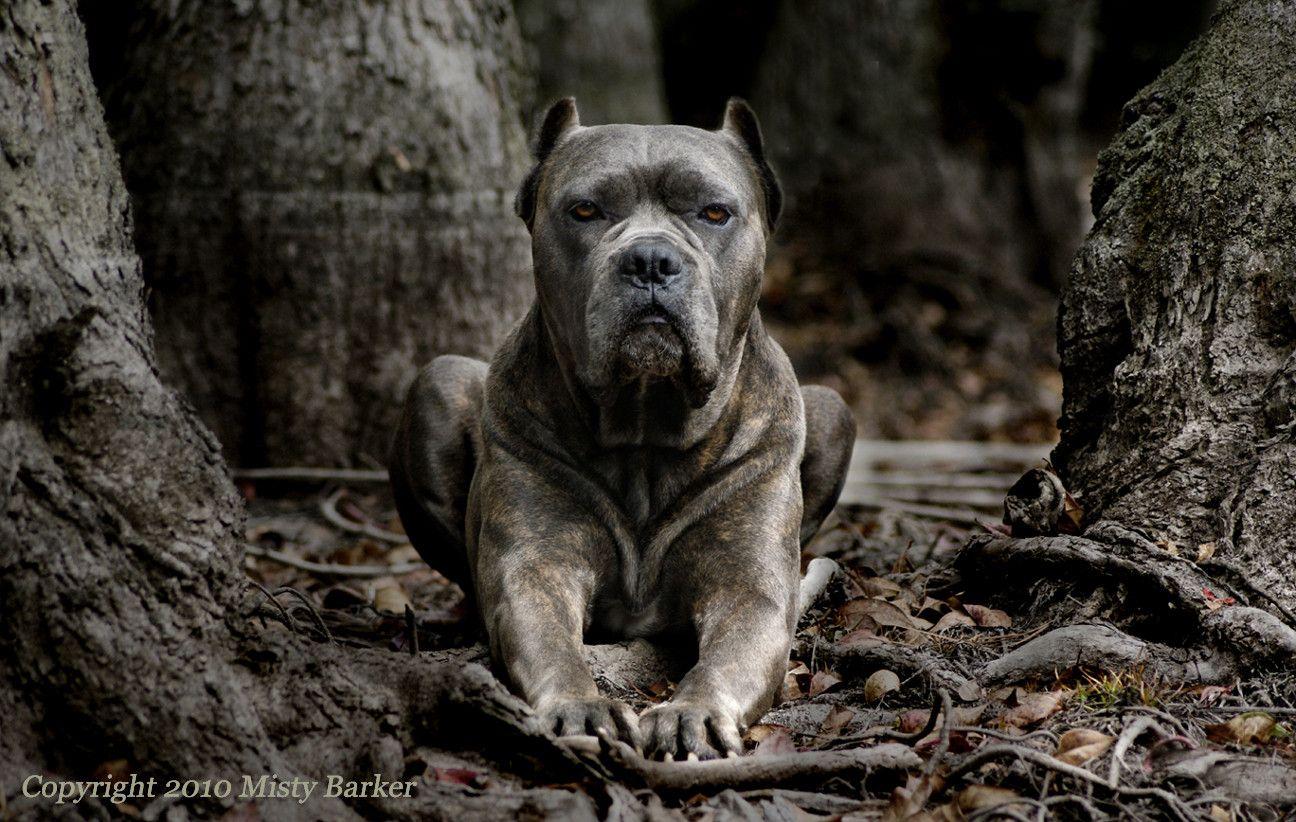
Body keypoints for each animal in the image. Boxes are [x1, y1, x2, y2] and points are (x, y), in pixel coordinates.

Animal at [393, 95, 860, 757]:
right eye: (585, 210)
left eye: (714, 212)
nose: (650, 259)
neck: (645, 431)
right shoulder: (535, 568)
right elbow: (548, 641)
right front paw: (580, 704)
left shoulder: (751, 588)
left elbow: (730, 657)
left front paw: (693, 711)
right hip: (433, 386)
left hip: (832, 413)